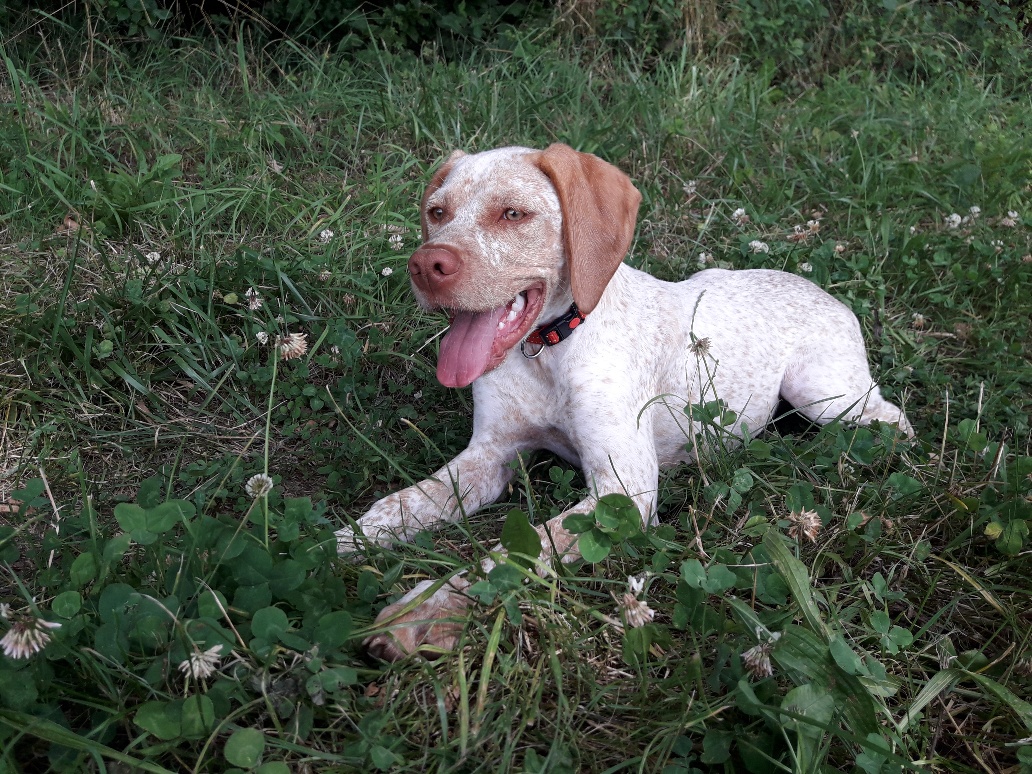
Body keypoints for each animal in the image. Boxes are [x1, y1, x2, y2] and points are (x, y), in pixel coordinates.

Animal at [336, 141, 912, 660]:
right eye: (437, 212)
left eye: (513, 214)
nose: (424, 265)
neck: (548, 350)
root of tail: (823, 289)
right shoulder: (489, 456)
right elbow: (397, 505)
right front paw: (337, 545)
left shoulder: (624, 492)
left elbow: (511, 554)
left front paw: (426, 611)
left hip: (826, 397)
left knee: (891, 417)